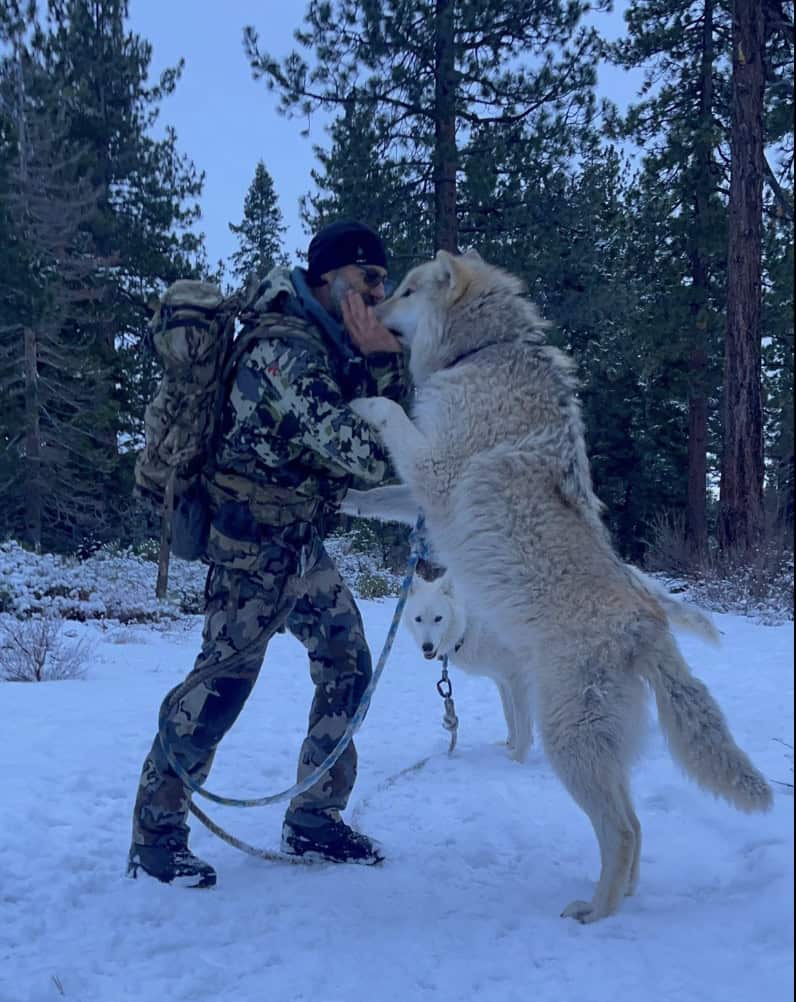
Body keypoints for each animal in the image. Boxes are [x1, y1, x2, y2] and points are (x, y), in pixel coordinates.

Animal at [346, 249, 773, 923]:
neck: (483, 351)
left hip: (566, 738)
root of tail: (649, 622)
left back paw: (595, 913)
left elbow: (392, 418)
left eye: (406, 291)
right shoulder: (422, 495)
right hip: (594, 747)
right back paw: (620, 898)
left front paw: (363, 403)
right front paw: (338, 497)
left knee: (621, 829)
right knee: (635, 828)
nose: (373, 310)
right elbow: (377, 497)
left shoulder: (437, 472)